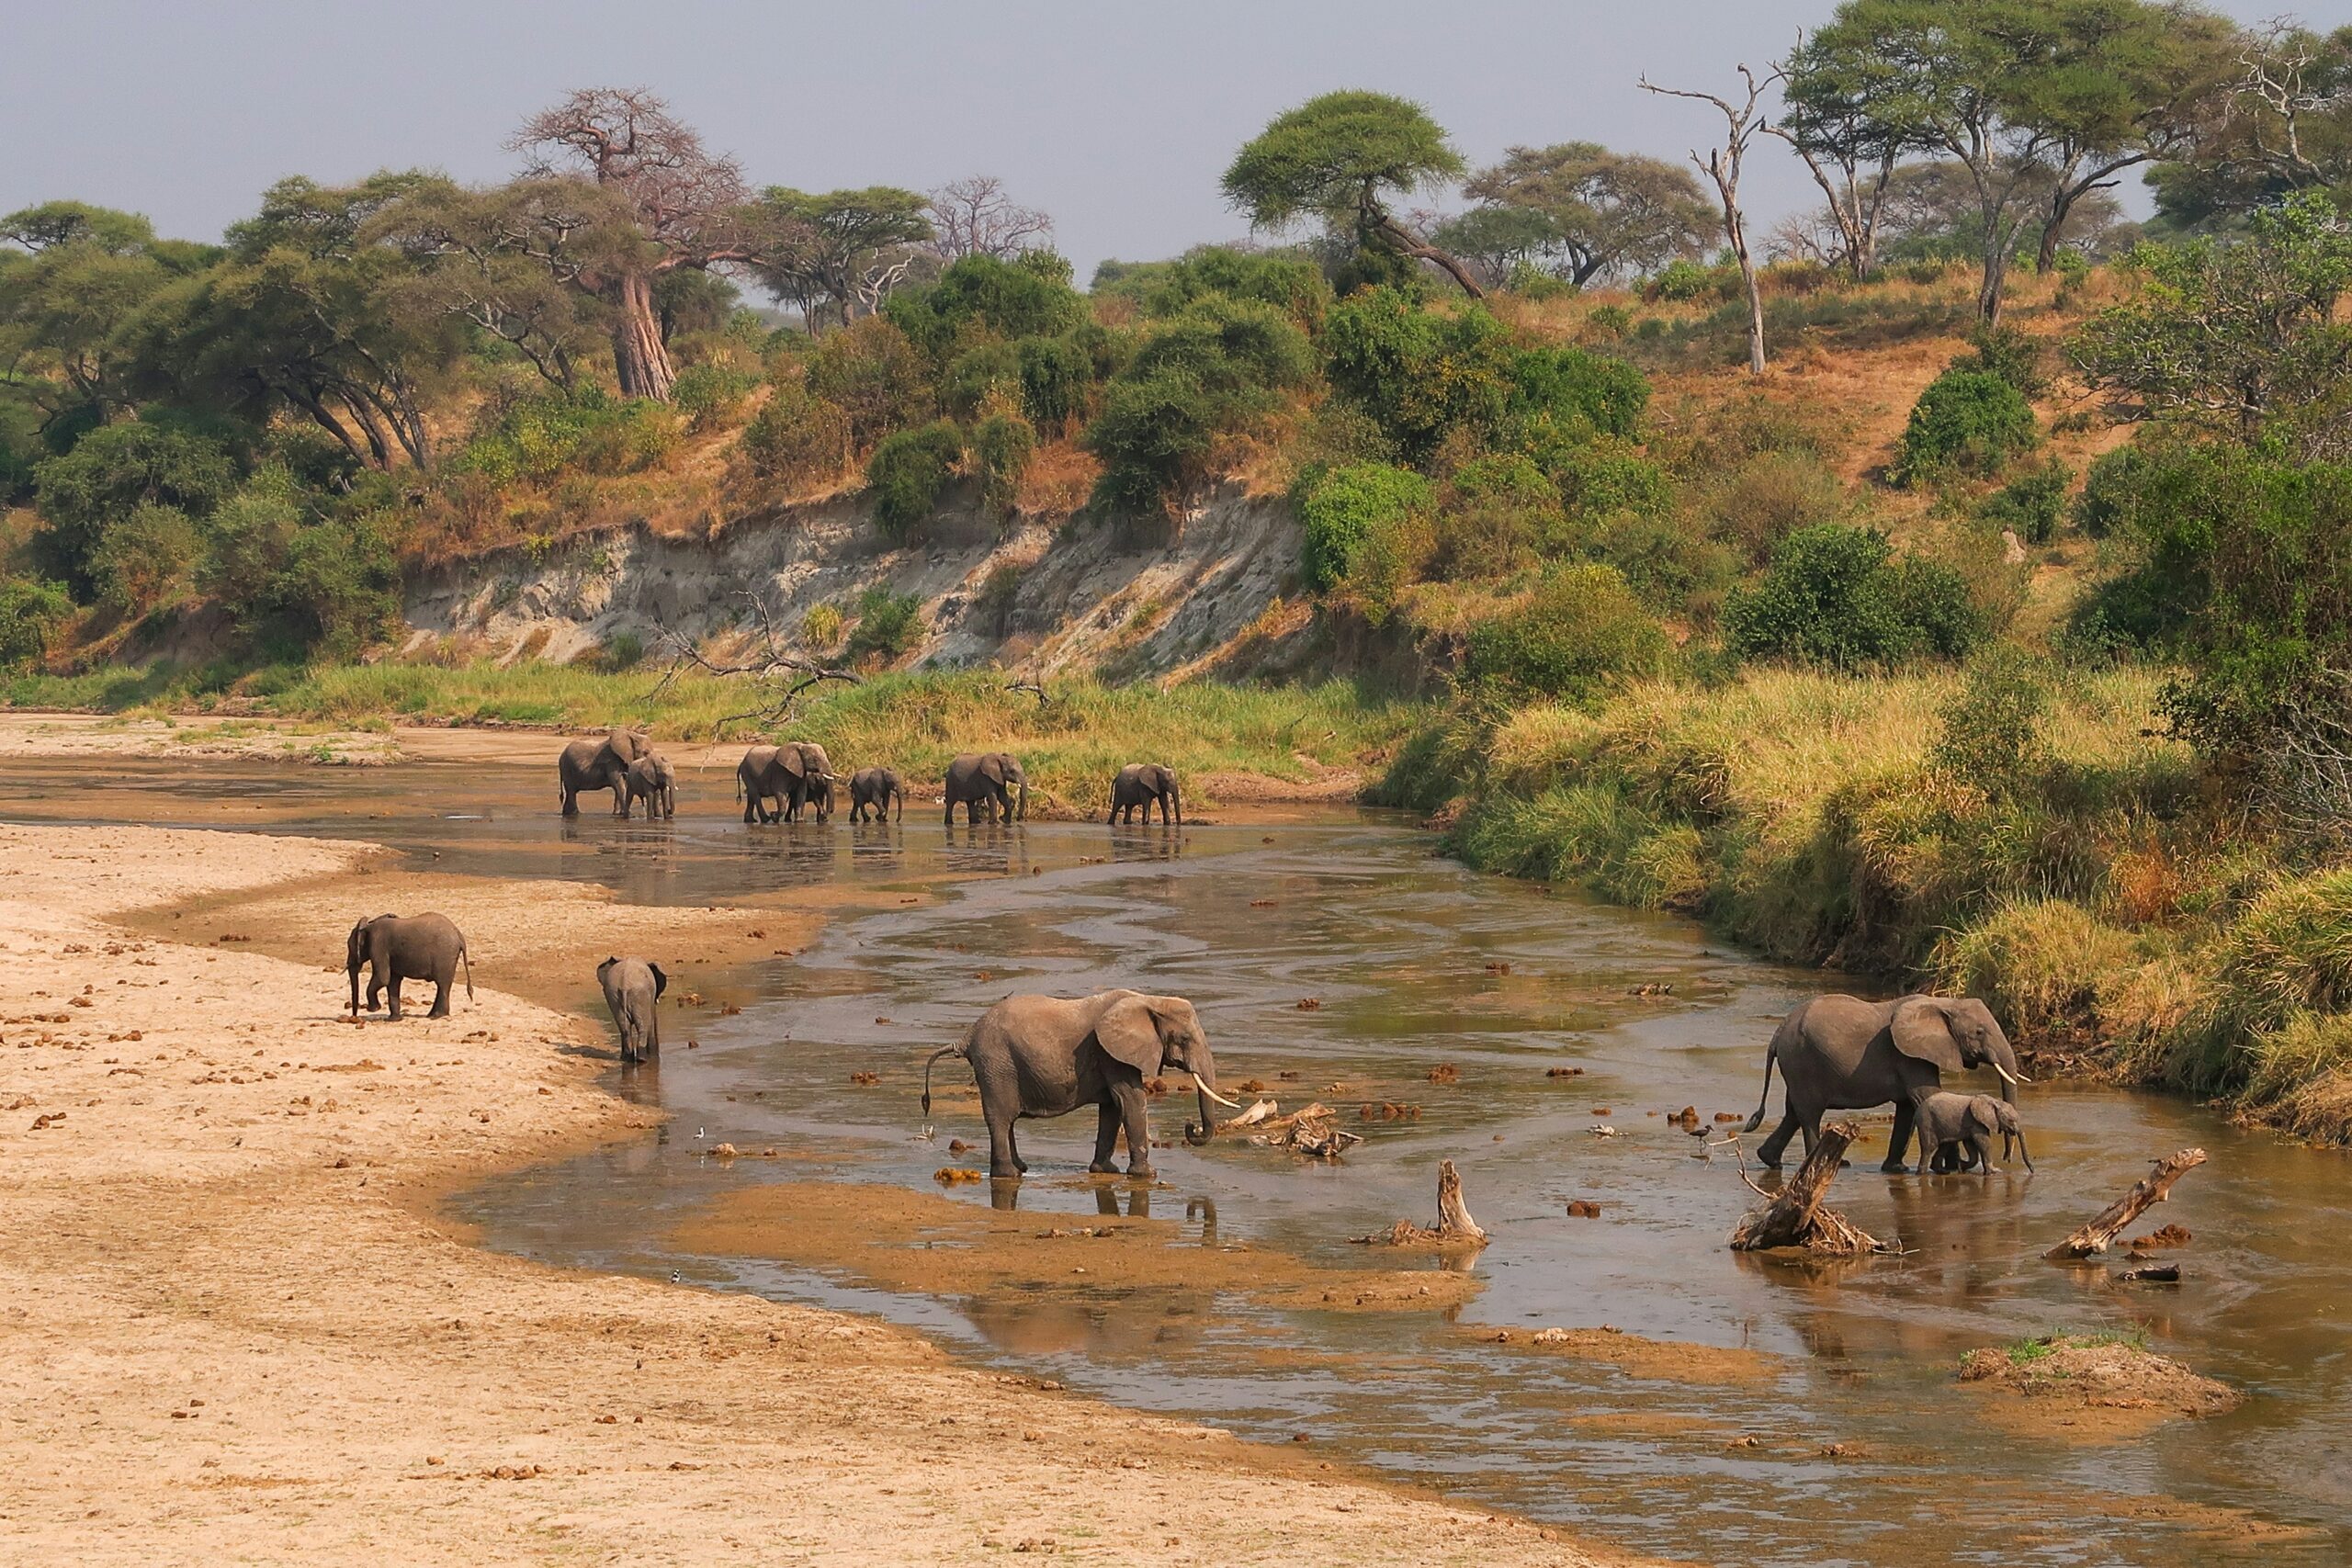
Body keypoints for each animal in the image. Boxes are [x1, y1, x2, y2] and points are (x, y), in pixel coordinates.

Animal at [347, 912, 474, 1021]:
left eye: (349, 946)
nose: (354, 1017)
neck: (369, 925)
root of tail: (458, 934)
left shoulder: (378, 945)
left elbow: (383, 978)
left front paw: (373, 1009)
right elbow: (393, 981)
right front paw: (393, 1020)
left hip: (445, 956)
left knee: (442, 984)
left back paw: (436, 1016)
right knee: (443, 985)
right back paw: (431, 1015)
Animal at [920, 989, 1240, 1180]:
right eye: (1184, 1039)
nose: (1190, 1126)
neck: (1148, 1000)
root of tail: (967, 1036)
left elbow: (1112, 1106)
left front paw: (1105, 1171)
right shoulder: (1111, 1053)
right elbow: (1130, 1100)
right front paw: (1147, 1175)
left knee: (1007, 1120)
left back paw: (1021, 1169)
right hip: (997, 1064)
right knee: (1000, 1118)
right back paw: (1008, 1175)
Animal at [1742, 993, 2028, 1173]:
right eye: (1979, 1032)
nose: (2008, 1158)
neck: (1943, 1002)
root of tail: (1779, 1031)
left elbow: (1909, 1106)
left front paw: (1897, 1169)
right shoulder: (1908, 1055)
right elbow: (1926, 1095)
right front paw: (1953, 1168)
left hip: (1796, 1064)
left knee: (1793, 1112)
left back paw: (1771, 1161)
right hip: (1802, 1060)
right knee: (1810, 1114)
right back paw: (1829, 1164)